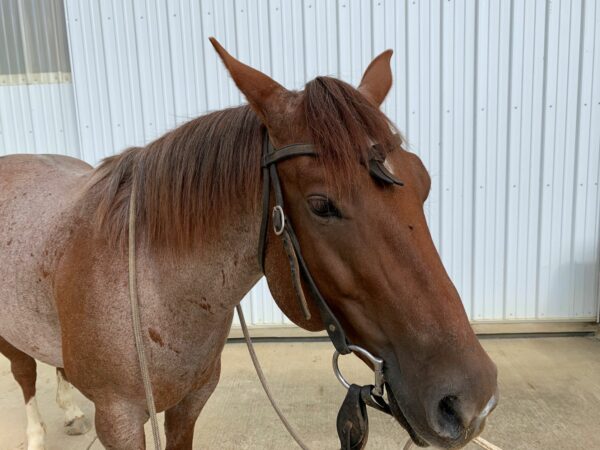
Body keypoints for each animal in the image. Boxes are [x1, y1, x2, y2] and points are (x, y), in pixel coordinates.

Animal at [0, 39, 496, 450]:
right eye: (321, 205)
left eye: (423, 182)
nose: (472, 400)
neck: (152, 288)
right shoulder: (119, 420)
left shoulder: (190, 403)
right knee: (24, 374)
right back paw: (36, 434)